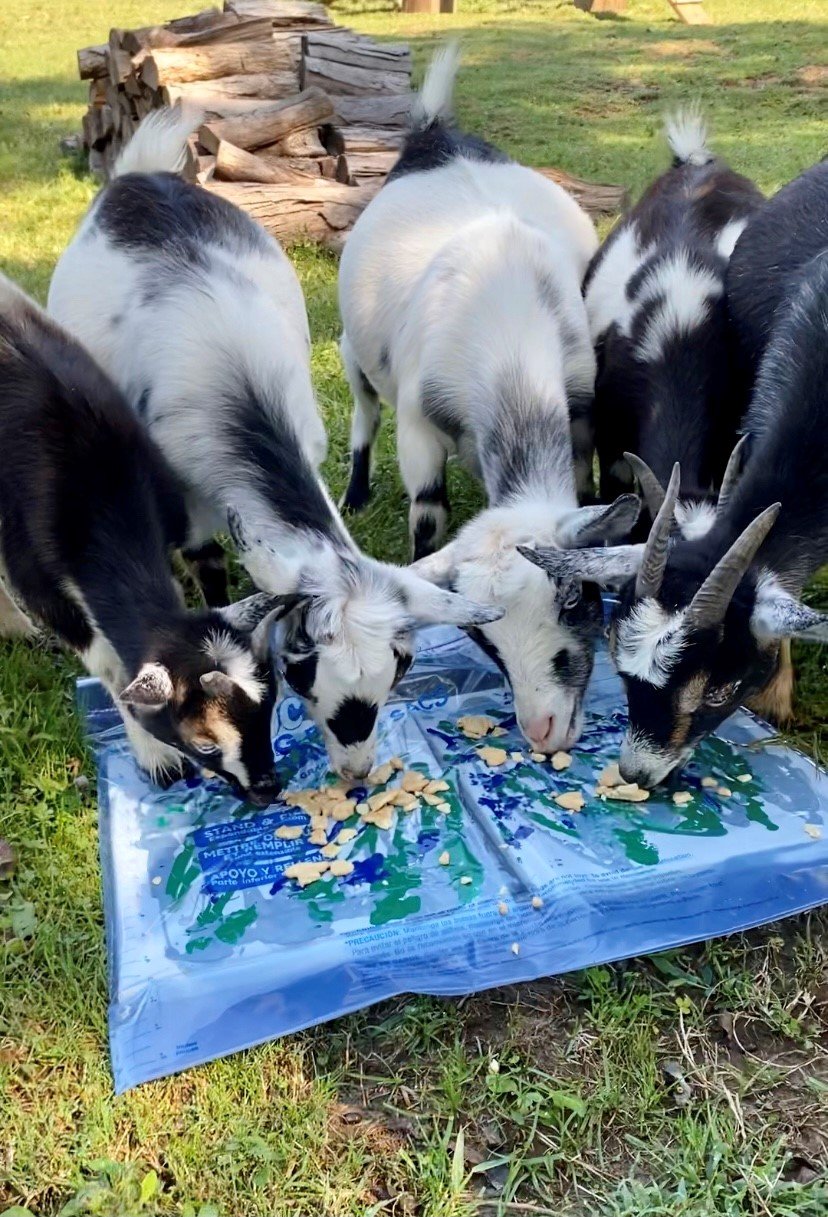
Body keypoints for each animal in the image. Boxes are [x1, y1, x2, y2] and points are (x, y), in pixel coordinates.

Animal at [0, 273, 285, 804]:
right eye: (205, 744)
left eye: (272, 710)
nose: (267, 791)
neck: (96, 487)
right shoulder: (38, 578)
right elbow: (108, 662)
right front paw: (157, 759)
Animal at [48, 105, 500, 782]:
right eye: (304, 673)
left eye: (403, 666)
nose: (357, 772)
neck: (233, 386)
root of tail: (138, 176)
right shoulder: (186, 500)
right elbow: (207, 571)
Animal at [338, 45, 640, 754]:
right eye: (484, 636)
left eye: (576, 599)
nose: (543, 730)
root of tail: (434, 135)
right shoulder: (418, 427)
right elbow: (427, 519)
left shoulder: (579, 410)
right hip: (354, 351)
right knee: (364, 407)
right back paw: (356, 491)